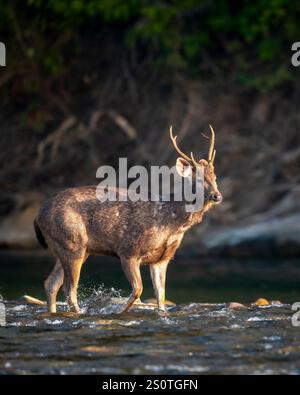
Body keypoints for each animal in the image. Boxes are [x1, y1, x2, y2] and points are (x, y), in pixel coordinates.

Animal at [31, 127, 223, 316]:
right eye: (199, 179)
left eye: (215, 177)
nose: (217, 195)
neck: (170, 223)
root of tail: (38, 215)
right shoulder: (128, 250)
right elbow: (138, 290)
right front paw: (118, 312)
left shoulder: (162, 259)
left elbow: (161, 298)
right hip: (72, 243)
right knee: (69, 290)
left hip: (71, 247)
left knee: (51, 284)